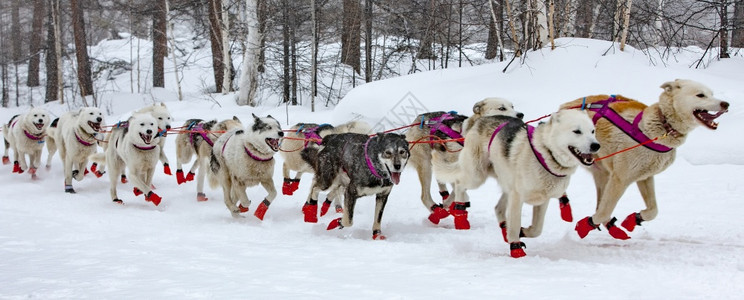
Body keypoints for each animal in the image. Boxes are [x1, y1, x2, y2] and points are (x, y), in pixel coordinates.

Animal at [406, 97, 524, 229]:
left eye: (512, 106)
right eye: (502, 108)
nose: (520, 115)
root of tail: (419, 119)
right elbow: (457, 189)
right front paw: (451, 209)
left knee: (441, 181)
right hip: (425, 165)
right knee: (425, 195)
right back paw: (437, 210)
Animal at [450, 110, 600, 258]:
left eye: (592, 131)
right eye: (577, 131)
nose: (596, 145)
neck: (546, 153)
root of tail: (481, 120)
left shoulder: (542, 200)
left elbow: (537, 229)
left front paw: (524, 232)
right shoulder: (517, 198)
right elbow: (515, 225)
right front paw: (516, 249)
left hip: (507, 186)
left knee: (498, 208)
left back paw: (504, 230)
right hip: (476, 176)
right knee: (458, 183)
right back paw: (459, 214)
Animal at [560, 78, 728, 240]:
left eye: (712, 94)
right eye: (700, 95)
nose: (726, 104)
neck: (659, 129)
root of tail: (564, 107)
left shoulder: (645, 177)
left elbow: (653, 211)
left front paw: (634, 219)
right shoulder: (620, 179)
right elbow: (603, 212)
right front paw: (584, 226)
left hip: (602, 172)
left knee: (599, 204)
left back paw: (613, 229)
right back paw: (567, 210)